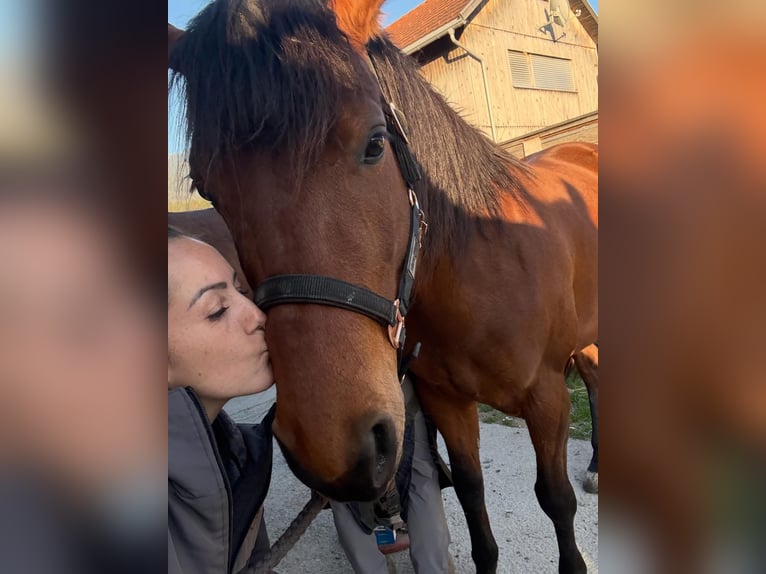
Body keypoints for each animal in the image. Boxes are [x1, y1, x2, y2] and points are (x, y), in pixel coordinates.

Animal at [168, 1, 598, 572]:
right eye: (206, 187)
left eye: (375, 143)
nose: (330, 449)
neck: (481, 268)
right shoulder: (446, 403)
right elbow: (471, 493)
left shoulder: (548, 399)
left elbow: (555, 499)